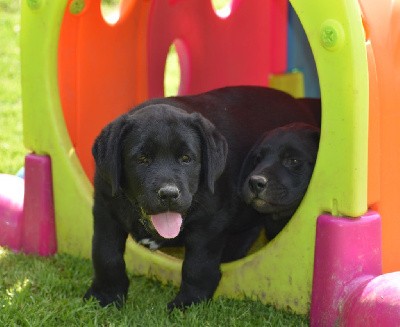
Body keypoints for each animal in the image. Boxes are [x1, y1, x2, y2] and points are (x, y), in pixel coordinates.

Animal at [84, 84, 318, 310]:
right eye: (142, 159)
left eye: (186, 158)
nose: (169, 194)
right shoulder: (105, 211)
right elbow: (106, 255)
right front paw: (105, 295)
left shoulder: (209, 225)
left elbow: (197, 266)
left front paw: (187, 303)